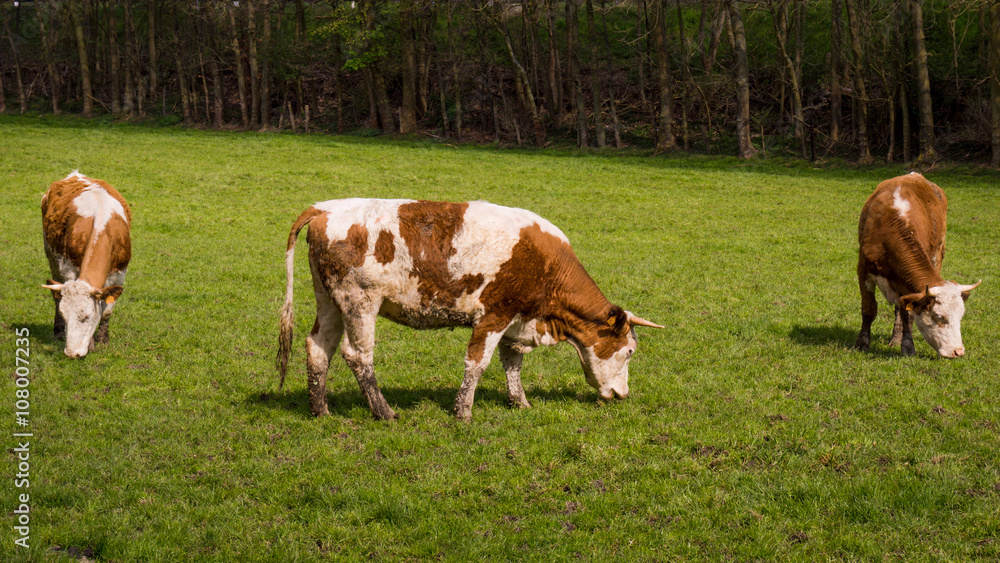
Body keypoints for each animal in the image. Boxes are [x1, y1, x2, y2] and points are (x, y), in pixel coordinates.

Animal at [41, 172, 132, 358]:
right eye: (65, 315)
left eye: (87, 317)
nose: (71, 353)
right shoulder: (69, 270)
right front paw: (90, 345)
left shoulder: (119, 274)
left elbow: (107, 311)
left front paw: (103, 340)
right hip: (51, 256)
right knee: (55, 295)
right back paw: (58, 331)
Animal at [277, 199, 662, 421]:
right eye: (629, 351)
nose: (622, 395)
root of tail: (325, 208)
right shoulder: (494, 315)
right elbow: (478, 363)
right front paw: (463, 411)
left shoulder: (516, 320)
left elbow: (512, 363)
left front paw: (520, 403)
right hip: (360, 303)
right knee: (357, 355)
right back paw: (384, 412)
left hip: (330, 301)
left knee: (319, 348)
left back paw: (320, 409)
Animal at [854, 172, 980, 358]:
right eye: (939, 316)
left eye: (960, 316)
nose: (958, 351)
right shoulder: (864, 270)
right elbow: (868, 309)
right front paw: (862, 343)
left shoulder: (907, 286)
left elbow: (908, 315)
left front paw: (908, 346)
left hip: (938, 253)